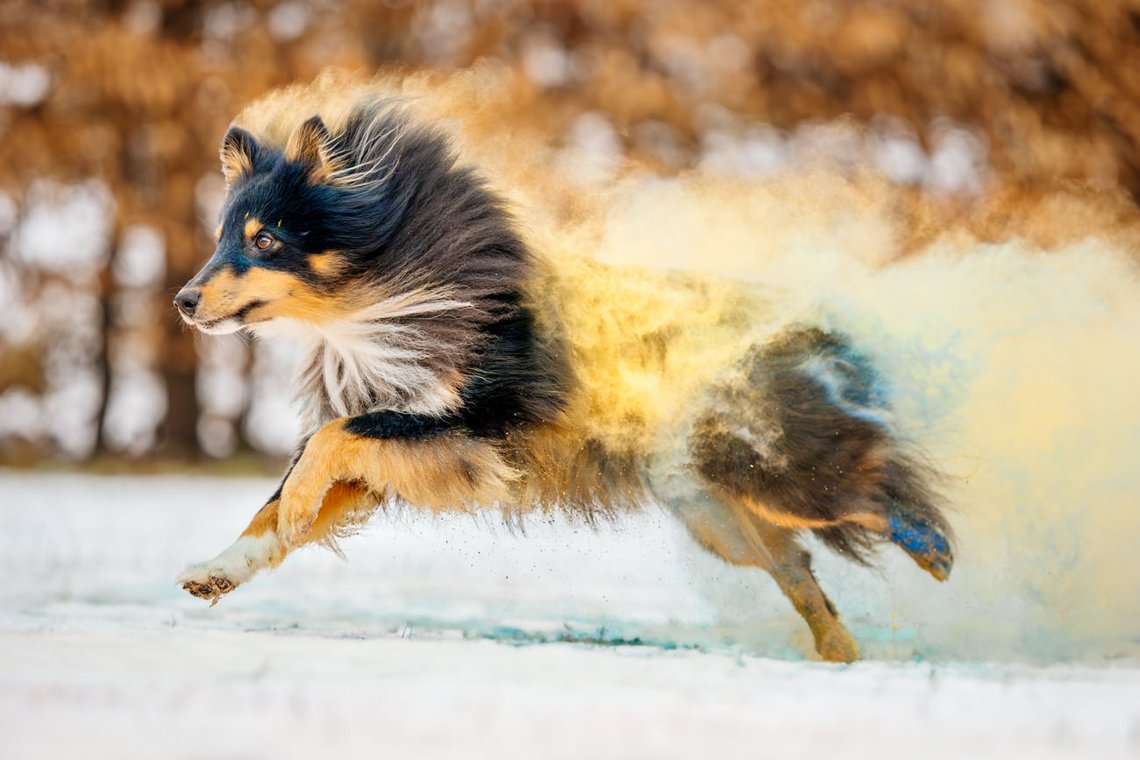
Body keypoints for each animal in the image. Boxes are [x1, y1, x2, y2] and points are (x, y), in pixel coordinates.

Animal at [171, 78, 953, 660]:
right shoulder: (407, 450)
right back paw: (841, 655)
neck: (388, 299)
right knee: (800, 570)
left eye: (265, 239)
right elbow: (284, 499)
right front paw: (215, 572)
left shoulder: (476, 423)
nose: (183, 301)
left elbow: (333, 445)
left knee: (872, 492)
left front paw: (298, 504)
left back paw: (933, 551)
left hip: (764, 467)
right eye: (221, 237)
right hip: (715, 512)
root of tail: (820, 328)